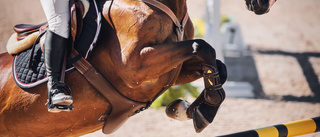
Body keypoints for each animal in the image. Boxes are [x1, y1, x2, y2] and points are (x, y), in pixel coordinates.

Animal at [0, 0, 225, 136]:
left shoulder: (176, 70)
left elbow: (218, 66)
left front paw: (190, 109)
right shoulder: (135, 66)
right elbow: (201, 47)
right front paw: (201, 110)